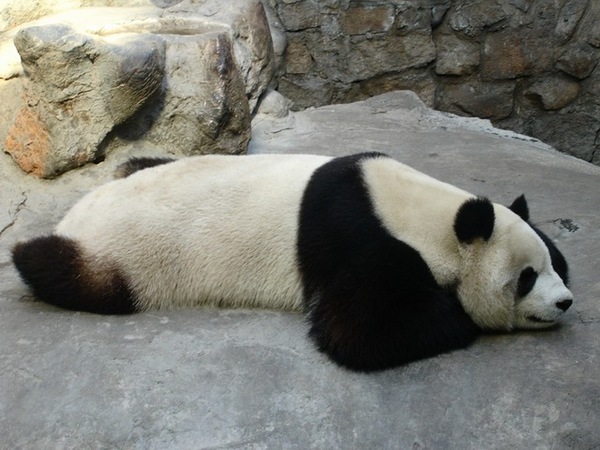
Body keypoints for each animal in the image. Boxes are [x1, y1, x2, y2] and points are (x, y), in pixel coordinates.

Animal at [10, 153, 572, 370]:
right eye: (525, 279)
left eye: (557, 267)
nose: (565, 303)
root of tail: (75, 215)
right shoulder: (362, 242)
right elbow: (357, 332)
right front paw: (461, 315)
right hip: (125, 260)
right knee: (66, 272)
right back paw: (29, 253)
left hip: (133, 175)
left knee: (136, 161)